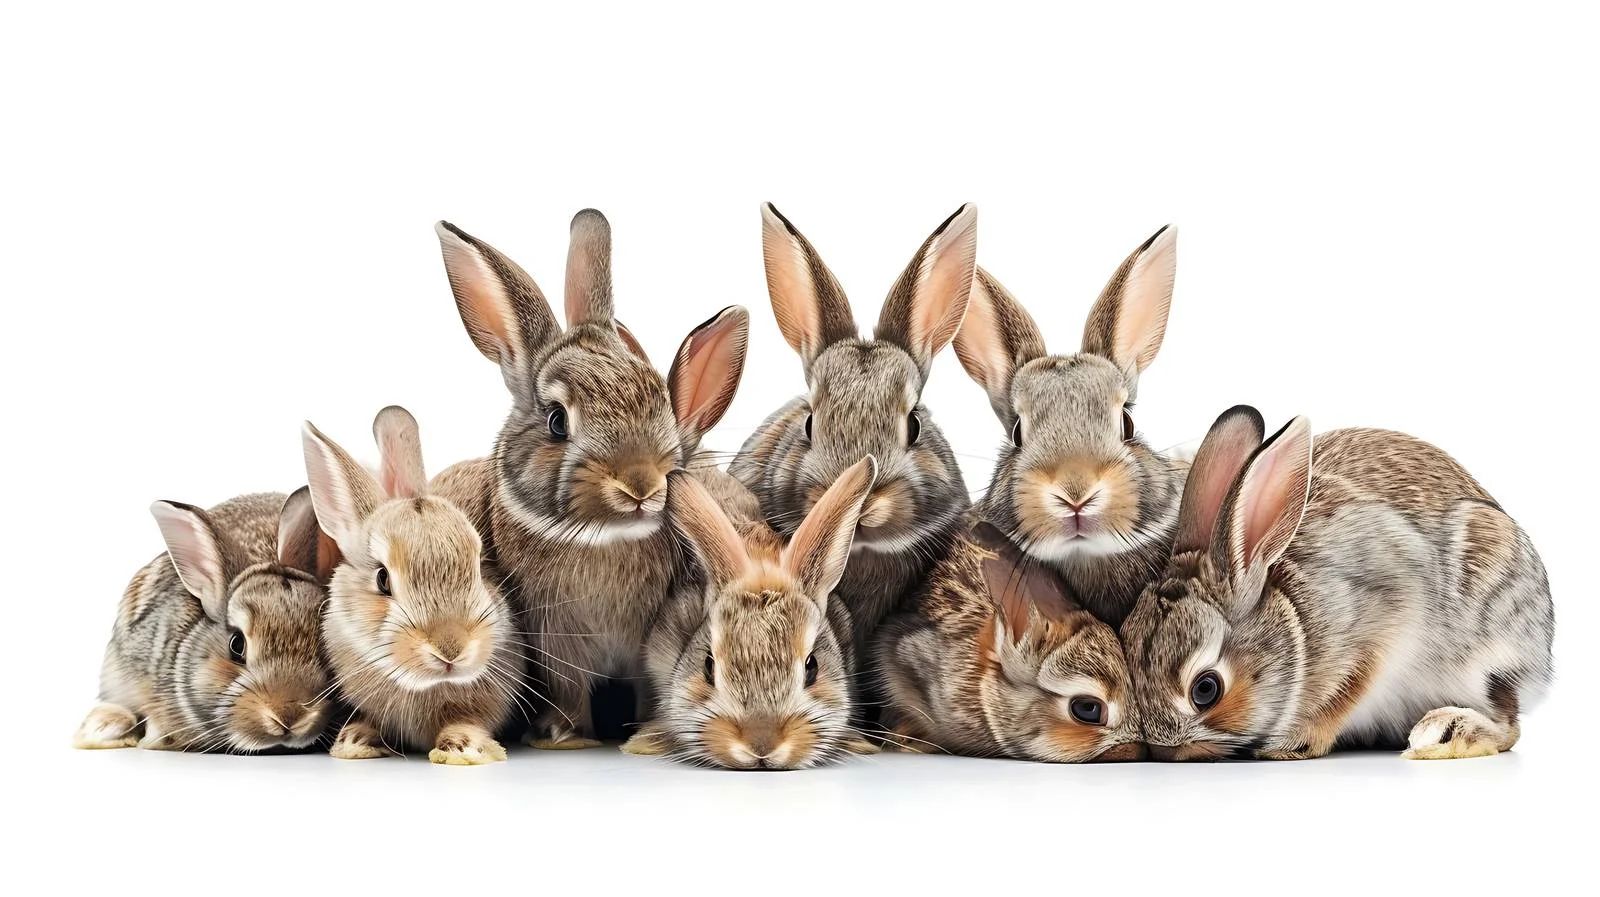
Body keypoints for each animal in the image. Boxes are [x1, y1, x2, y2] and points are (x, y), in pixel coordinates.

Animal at [303, 406, 526, 764]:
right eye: (382, 579)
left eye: (480, 566)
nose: (451, 649)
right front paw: (354, 741)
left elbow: (469, 721)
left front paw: (463, 747)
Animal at [431, 210, 749, 748]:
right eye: (558, 421)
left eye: (659, 401)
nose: (640, 485)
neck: (604, 538)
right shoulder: (557, 639)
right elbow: (571, 687)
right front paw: (564, 734)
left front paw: (642, 730)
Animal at [1119, 405, 1555, 760]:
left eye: (1205, 689)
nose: (1163, 747)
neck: (1293, 624)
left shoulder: (1385, 617)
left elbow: (1349, 690)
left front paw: (1293, 742)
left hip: (1489, 651)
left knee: (1509, 724)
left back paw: (1444, 732)